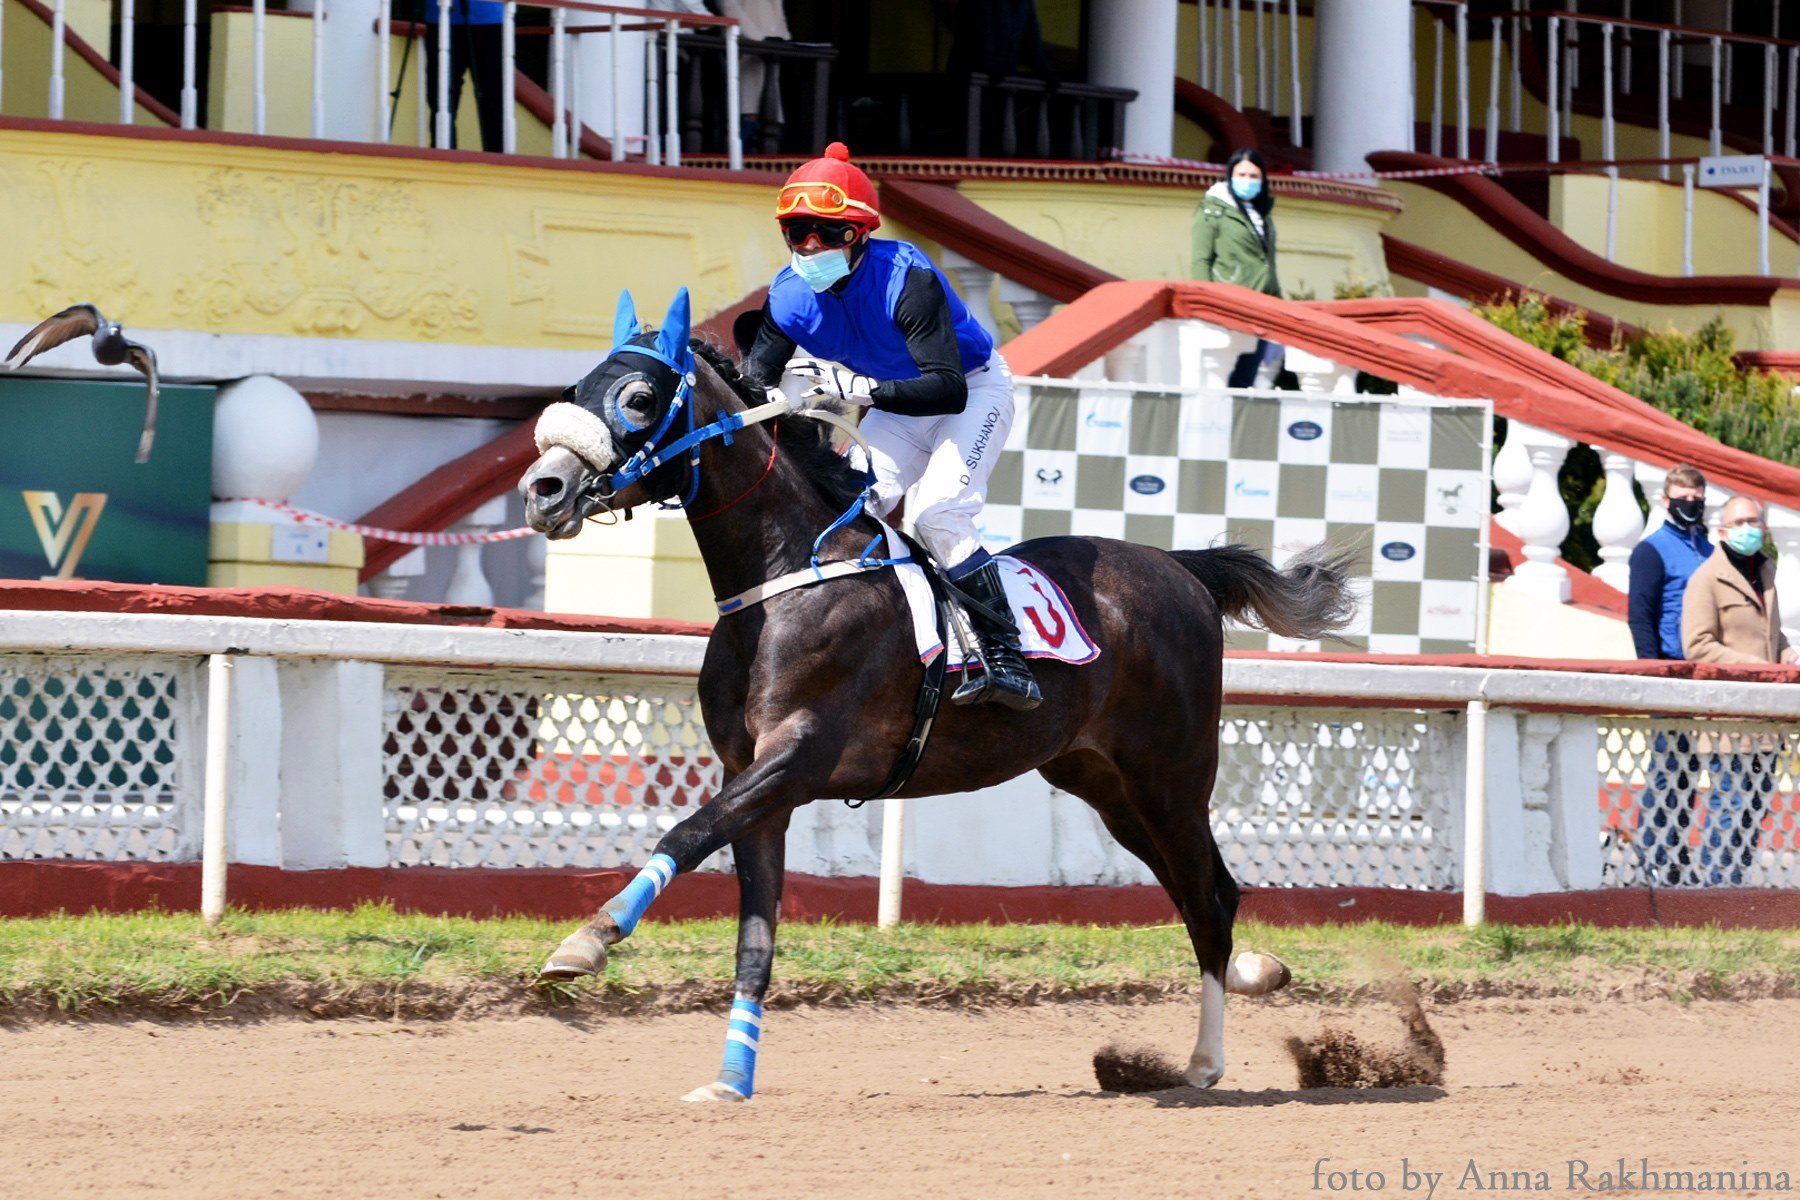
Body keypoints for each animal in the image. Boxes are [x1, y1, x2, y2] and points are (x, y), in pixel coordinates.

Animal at [522, 287, 1353, 1101]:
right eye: (575, 390)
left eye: (637, 397)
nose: (543, 490)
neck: (785, 577)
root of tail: (1183, 567)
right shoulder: (756, 782)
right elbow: (754, 938)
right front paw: (731, 1079)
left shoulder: (800, 754)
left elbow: (683, 834)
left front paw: (584, 942)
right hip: (1104, 783)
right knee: (1204, 891)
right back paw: (1249, 980)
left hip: (1170, 774)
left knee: (1209, 899)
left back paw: (1207, 1060)